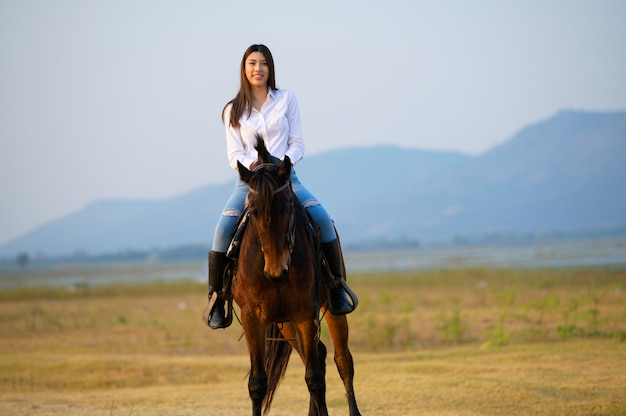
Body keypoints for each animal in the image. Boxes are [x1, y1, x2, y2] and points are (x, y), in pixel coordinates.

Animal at [233, 138, 360, 414]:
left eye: (286, 206)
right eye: (253, 210)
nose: (276, 270)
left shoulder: (305, 313)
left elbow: (314, 379)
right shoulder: (252, 318)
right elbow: (257, 383)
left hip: (329, 311)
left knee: (342, 361)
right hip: (285, 325)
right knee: (319, 355)